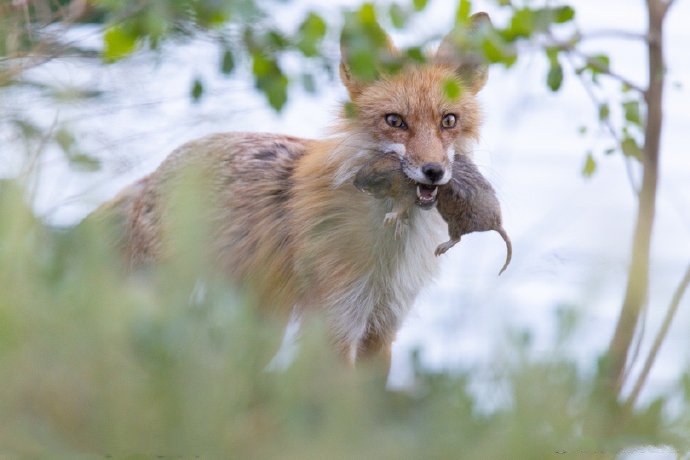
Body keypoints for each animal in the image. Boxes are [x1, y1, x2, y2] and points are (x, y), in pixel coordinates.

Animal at [95, 12, 490, 368]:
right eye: (395, 121)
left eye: (448, 121)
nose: (434, 171)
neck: (387, 253)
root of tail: (153, 173)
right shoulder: (337, 324)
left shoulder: (382, 329)